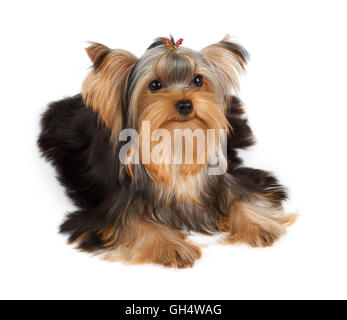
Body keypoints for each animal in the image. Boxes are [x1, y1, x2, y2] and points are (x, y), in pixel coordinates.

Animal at [38, 35, 296, 268]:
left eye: (198, 80)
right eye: (155, 85)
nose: (185, 104)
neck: (175, 142)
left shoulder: (225, 179)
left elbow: (241, 197)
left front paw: (260, 224)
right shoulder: (108, 212)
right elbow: (135, 224)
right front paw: (174, 247)